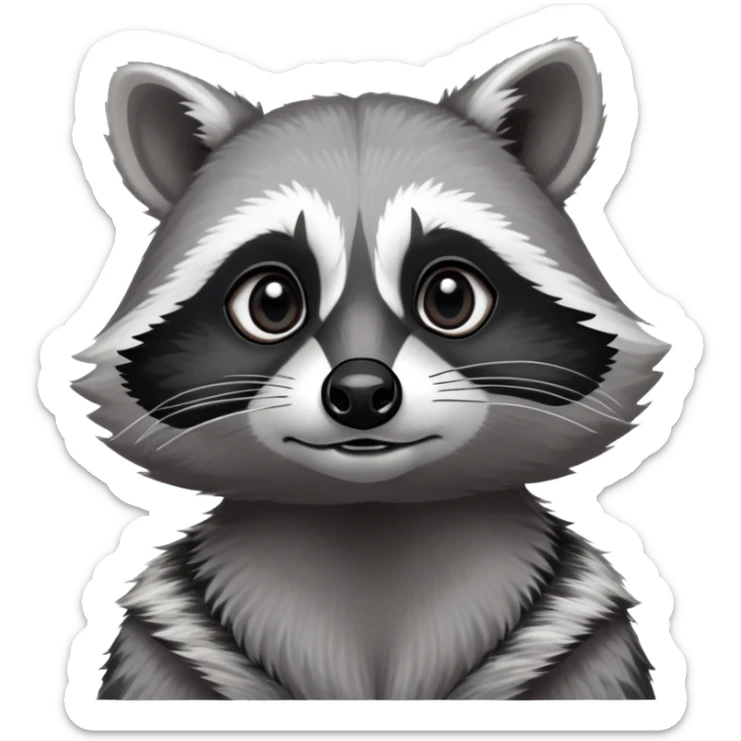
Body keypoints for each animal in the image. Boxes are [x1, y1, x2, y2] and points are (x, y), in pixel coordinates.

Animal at [73, 39, 669, 700]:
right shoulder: (167, 647)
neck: (371, 517)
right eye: (272, 302)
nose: (360, 392)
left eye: (450, 297)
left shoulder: (580, 640)